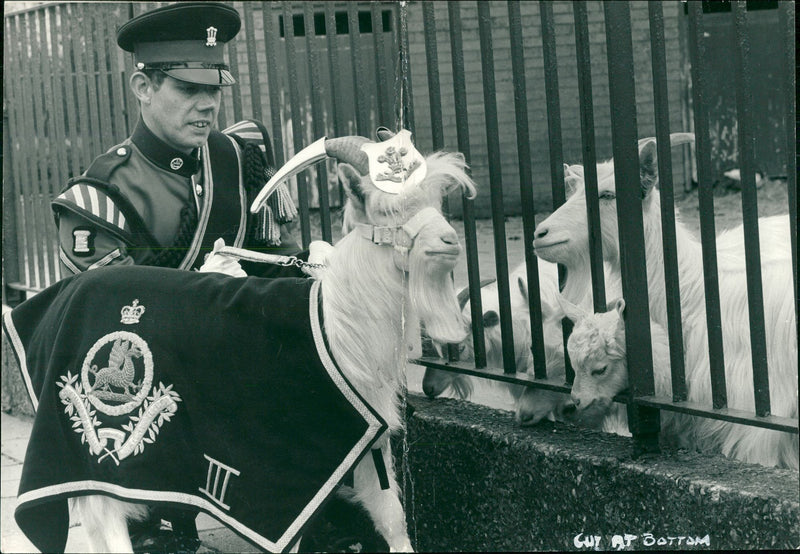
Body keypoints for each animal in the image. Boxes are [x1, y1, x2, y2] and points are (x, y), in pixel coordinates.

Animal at [1, 128, 476, 548]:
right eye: (387, 210)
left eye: (435, 199)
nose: (450, 241)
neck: (336, 319)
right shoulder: (282, 465)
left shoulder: (361, 438)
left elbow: (391, 518)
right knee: (106, 513)